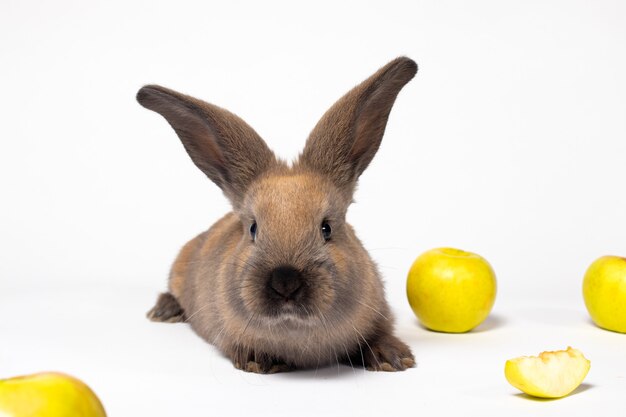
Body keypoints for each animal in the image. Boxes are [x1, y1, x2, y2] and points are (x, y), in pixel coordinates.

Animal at [139, 57, 416, 372]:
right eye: (253, 229)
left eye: (326, 228)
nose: (285, 281)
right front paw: (258, 361)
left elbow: (379, 333)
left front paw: (393, 358)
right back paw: (164, 311)